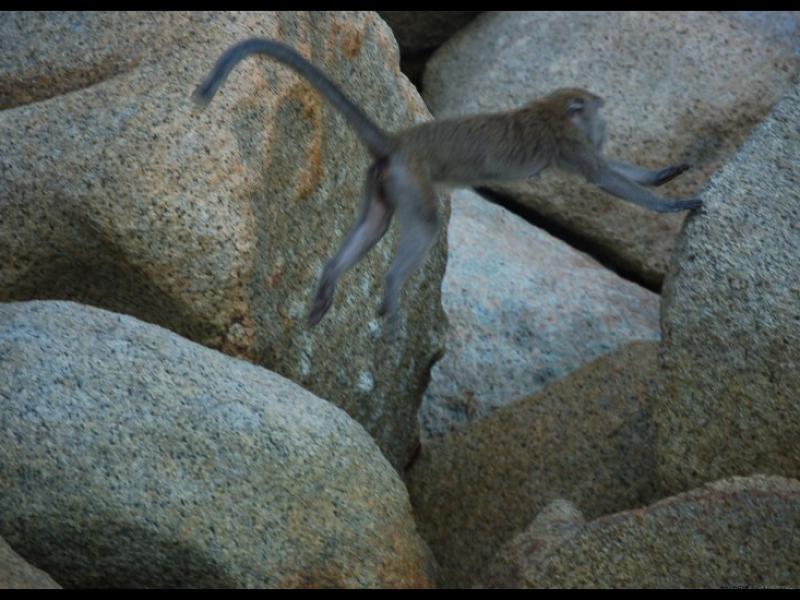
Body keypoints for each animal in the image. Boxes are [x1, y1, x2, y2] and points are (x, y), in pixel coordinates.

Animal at [193, 38, 702, 336]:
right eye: (599, 116)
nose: (604, 130)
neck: (554, 110)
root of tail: (399, 141)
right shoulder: (570, 145)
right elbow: (602, 176)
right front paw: (672, 202)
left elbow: (611, 171)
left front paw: (664, 174)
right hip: (411, 179)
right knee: (424, 224)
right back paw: (390, 292)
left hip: (382, 180)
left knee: (374, 227)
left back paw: (329, 280)